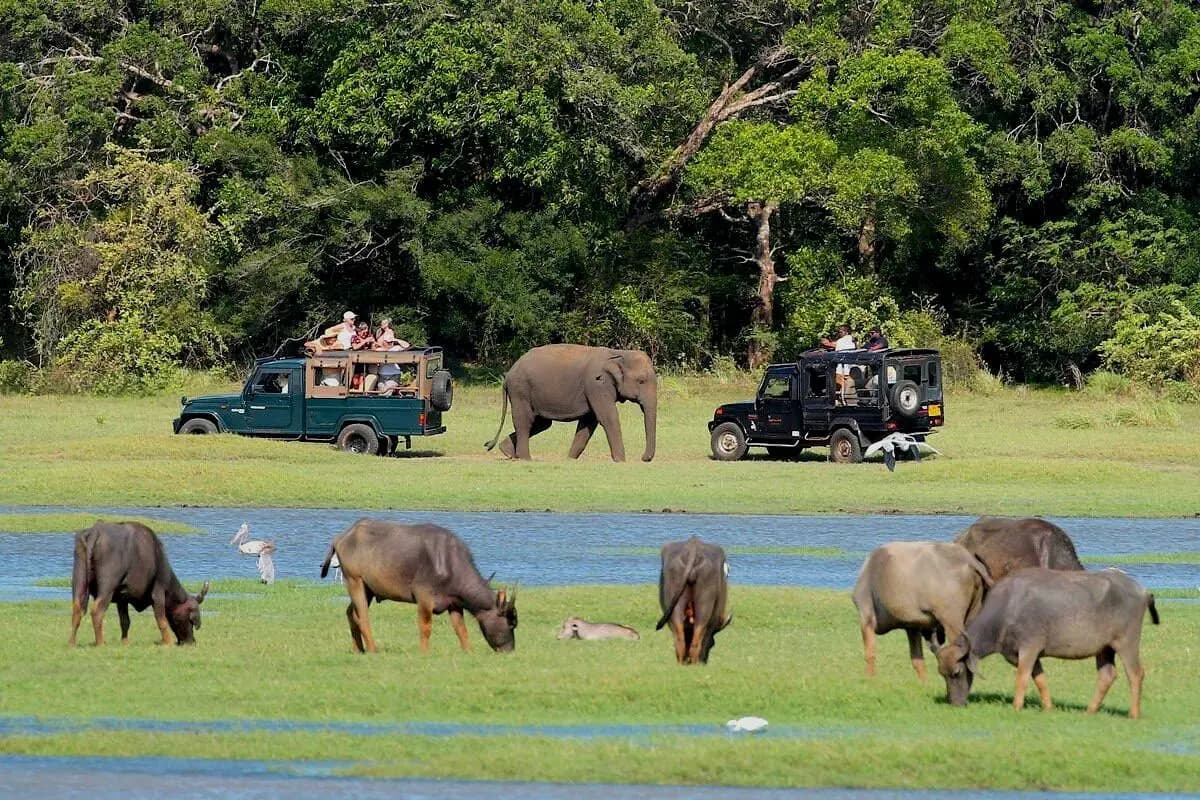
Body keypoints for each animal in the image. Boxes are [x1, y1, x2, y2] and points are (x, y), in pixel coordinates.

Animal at [484, 344, 657, 462]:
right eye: (641, 381)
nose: (643, 458)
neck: (618, 353)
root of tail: (508, 375)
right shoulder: (596, 385)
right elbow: (608, 417)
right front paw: (621, 461)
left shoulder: (593, 390)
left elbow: (588, 423)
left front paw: (570, 459)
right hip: (520, 390)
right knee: (524, 421)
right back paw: (525, 458)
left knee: (541, 423)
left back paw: (507, 451)